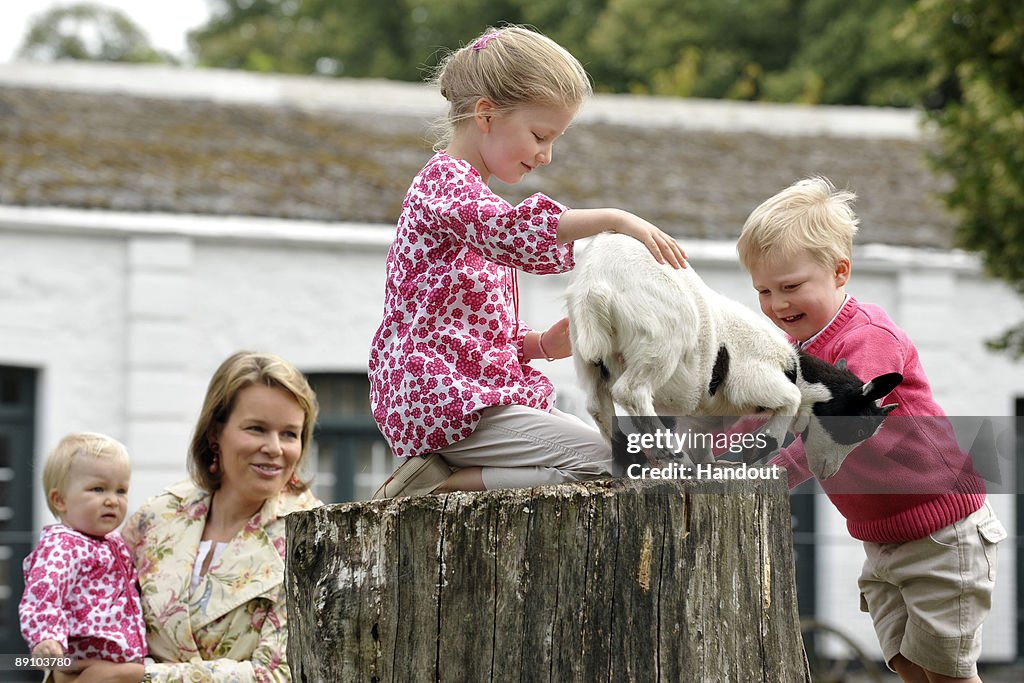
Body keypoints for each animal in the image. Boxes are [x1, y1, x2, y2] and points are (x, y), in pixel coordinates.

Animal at [565, 235, 901, 481]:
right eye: (860, 428)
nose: (827, 472)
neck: (793, 368)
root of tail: (598, 284)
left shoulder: (699, 417)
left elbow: (702, 442)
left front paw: (713, 466)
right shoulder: (752, 380)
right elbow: (790, 399)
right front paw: (758, 448)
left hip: (587, 354)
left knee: (598, 404)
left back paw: (627, 458)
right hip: (661, 341)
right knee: (631, 392)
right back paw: (673, 458)